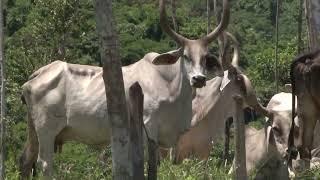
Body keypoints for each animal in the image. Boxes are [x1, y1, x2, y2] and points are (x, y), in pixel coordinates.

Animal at [18, 0, 230, 178]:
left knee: (26, 161)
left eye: (205, 58)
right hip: (46, 130)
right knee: (44, 164)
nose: (199, 79)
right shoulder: (148, 129)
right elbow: (148, 165)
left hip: (35, 130)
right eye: (185, 56)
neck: (172, 88)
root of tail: (38, 74)